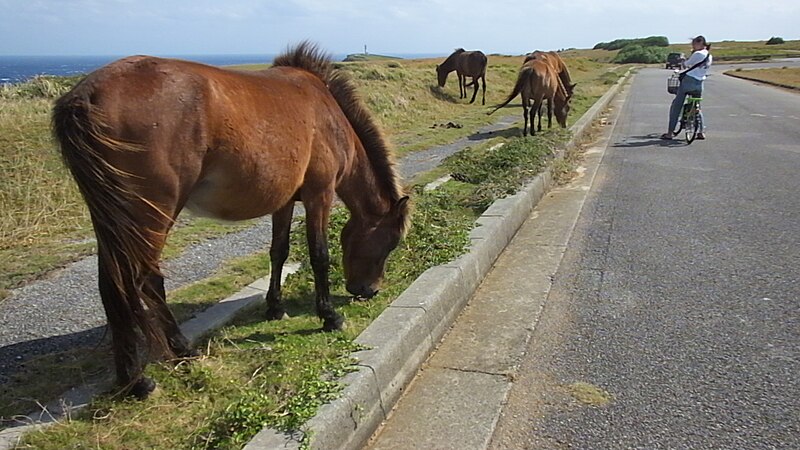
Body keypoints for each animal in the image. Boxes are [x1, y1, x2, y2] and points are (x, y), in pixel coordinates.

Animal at [53, 42, 410, 400]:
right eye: (390, 243)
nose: (369, 291)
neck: (329, 115)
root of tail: (87, 95)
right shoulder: (318, 195)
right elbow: (319, 256)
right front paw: (329, 316)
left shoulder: (283, 203)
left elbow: (278, 252)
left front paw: (275, 308)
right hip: (151, 213)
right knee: (141, 280)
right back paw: (169, 359)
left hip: (114, 220)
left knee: (113, 286)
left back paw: (133, 376)